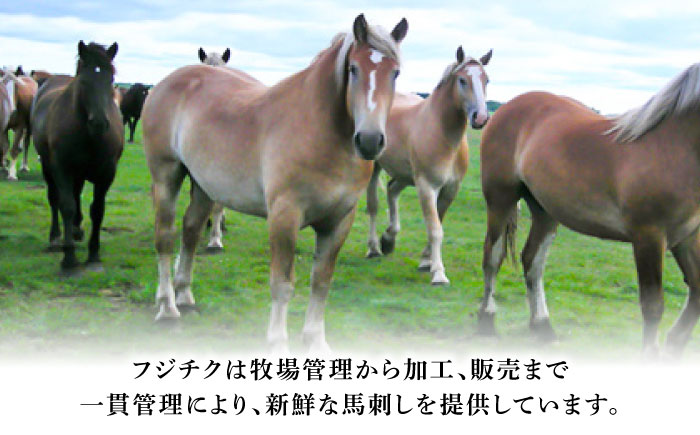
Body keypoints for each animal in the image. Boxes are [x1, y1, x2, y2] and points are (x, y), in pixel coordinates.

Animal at [31, 41, 124, 275]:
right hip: (49, 168)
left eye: (111, 79)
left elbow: (97, 209)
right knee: (55, 199)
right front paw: (69, 258)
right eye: (83, 81)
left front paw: (93, 254)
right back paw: (56, 237)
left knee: (77, 193)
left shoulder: (106, 173)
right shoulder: (62, 169)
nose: (99, 123)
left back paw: (76, 229)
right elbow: (66, 206)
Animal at [143, 14, 408, 352]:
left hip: (203, 185)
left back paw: (185, 295)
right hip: (166, 176)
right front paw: (279, 344)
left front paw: (316, 342)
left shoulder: (339, 221)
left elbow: (321, 282)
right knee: (165, 237)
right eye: (353, 69)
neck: (320, 131)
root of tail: (165, 84)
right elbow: (282, 284)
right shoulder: (284, 216)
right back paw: (167, 308)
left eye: (395, 72)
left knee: (190, 232)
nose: (370, 141)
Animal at [365, 47, 492, 285]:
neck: (442, 133)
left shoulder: (450, 189)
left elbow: (438, 221)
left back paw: (389, 239)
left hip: (404, 176)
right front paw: (439, 273)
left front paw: (426, 262)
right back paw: (374, 248)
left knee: (392, 190)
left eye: (486, 79)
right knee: (373, 206)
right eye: (462, 80)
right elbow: (435, 229)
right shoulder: (427, 186)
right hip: (375, 167)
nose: (480, 118)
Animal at [478, 63, 700, 357]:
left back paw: (543, 327)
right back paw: (487, 322)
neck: (673, 146)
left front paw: (674, 345)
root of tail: (505, 109)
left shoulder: (688, 236)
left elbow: (697, 290)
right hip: (500, 200)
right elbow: (653, 305)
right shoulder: (649, 236)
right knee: (493, 256)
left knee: (532, 261)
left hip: (545, 211)